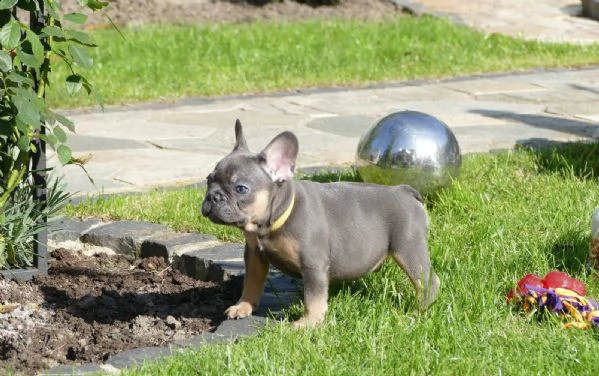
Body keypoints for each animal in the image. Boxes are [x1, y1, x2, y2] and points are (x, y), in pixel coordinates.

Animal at [202, 120, 440, 328]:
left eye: (241, 189)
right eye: (208, 180)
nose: (213, 197)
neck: (276, 218)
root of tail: (404, 190)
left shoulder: (312, 264)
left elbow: (313, 297)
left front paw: (308, 323)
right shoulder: (254, 256)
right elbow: (251, 283)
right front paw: (243, 306)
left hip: (408, 247)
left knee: (427, 281)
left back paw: (418, 312)